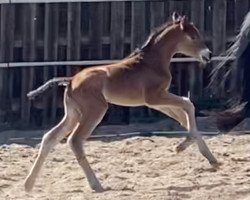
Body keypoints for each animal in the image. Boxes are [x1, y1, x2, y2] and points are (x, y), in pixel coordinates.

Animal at [24, 12, 218, 192]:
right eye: (193, 37)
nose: (208, 55)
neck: (151, 62)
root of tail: (70, 80)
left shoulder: (155, 101)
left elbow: (183, 117)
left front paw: (211, 159)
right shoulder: (155, 97)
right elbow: (188, 104)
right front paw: (181, 146)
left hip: (73, 113)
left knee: (50, 137)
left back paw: (28, 184)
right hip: (95, 110)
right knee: (75, 141)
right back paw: (96, 185)